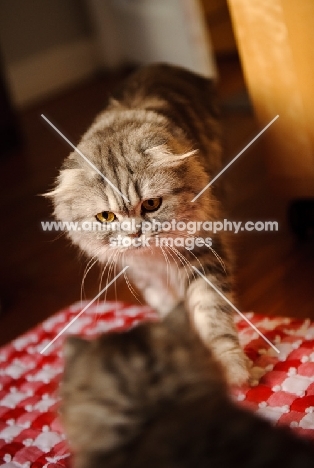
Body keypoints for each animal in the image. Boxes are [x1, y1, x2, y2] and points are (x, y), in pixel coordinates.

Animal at [47, 64, 248, 386]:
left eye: (151, 204)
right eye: (106, 217)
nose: (135, 233)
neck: (155, 256)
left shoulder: (202, 251)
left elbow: (211, 313)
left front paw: (233, 370)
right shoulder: (145, 273)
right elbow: (171, 310)